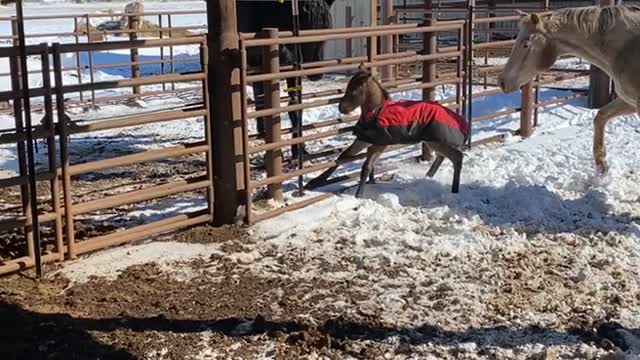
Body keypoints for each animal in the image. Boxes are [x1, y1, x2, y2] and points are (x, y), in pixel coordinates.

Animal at [236, 0, 336, 159]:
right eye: (305, 28)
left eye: (325, 29)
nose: (316, 74)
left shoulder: (294, 71)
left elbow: (295, 106)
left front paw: (299, 149)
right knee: (260, 100)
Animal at [304, 66, 464, 198]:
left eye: (354, 90)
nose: (341, 108)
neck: (375, 112)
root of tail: (456, 118)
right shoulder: (364, 140)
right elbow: (343, 157)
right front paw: (314, 182)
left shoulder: (380, 144)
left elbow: (366, 166)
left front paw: (358, 194)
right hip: (435, 141)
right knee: (444, 156)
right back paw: (428, 176)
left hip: (435, 141)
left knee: (457, 157)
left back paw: (454, 189)